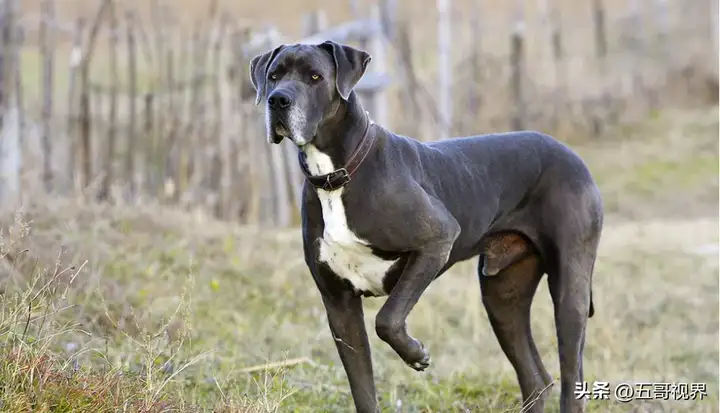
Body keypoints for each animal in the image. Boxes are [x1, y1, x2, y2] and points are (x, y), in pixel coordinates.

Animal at [248, 39, 600, 412]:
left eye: (315, 76)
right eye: (274, 75)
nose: (278, 100)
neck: (337, 174)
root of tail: (570, 153)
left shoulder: (437, 239)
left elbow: (387, 319)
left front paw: (416, 355)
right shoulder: (339, 304)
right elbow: (362, 387)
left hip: (569, 292)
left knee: (571, 375)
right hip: (502, 296)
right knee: (536, 378)